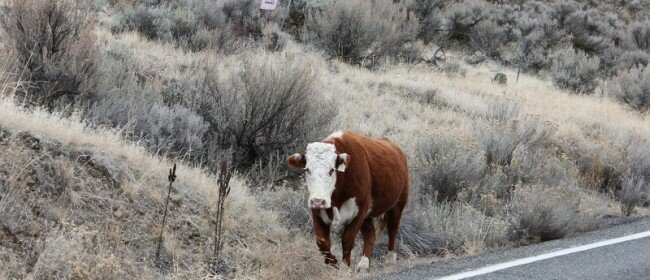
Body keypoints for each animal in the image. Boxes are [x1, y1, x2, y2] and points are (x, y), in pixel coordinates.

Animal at [286, 131, 408, 272]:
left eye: (332, 170)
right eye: (307, 169)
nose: (318, 201)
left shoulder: (360, 210)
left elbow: (347, 240)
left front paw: (345, 267)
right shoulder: (316, 213)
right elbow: (323, 243)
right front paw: (333, 264)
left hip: (398, 204)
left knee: (393, 228)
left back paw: (390, 259)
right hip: (368, 216)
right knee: (370, 234)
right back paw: (364, 263)